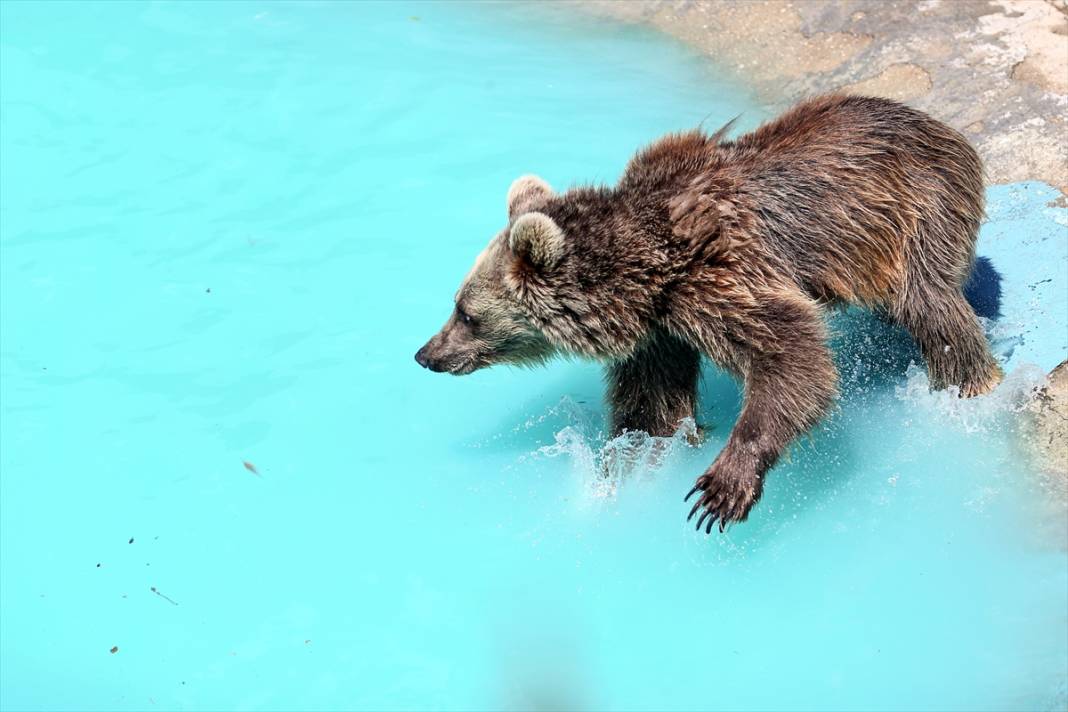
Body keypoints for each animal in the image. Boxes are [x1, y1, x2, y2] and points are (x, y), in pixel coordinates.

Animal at [414, 94, 999, 531]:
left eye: (466, 313)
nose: (426, 354)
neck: (647, 274)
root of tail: (942, 126)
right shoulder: (662, 331)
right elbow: (652, 408)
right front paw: (630, 466)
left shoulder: (720, 276)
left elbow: (790, 352)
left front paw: (721, 487)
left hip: (916, 210)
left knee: (931, 306)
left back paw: (969, 387)